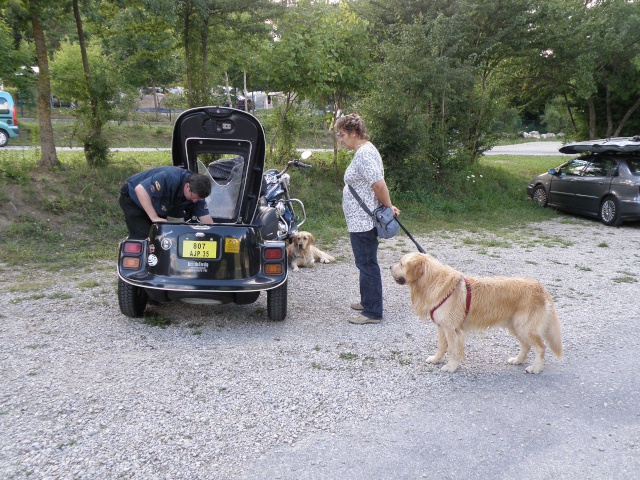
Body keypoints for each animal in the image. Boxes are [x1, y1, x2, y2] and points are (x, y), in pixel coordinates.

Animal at [390, 253, 560, 374]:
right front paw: (435, 359)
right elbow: (441, 346)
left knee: (540, 348)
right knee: (526, 346)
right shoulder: (441, 327)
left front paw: (451, 367)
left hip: (525, 328)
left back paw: (535, 368)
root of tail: (541, 288)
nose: (390, 266)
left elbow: (453, 350)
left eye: (401, 263)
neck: (432, 282)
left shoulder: (452, 329)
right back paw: (517, 360)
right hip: (516, 327)